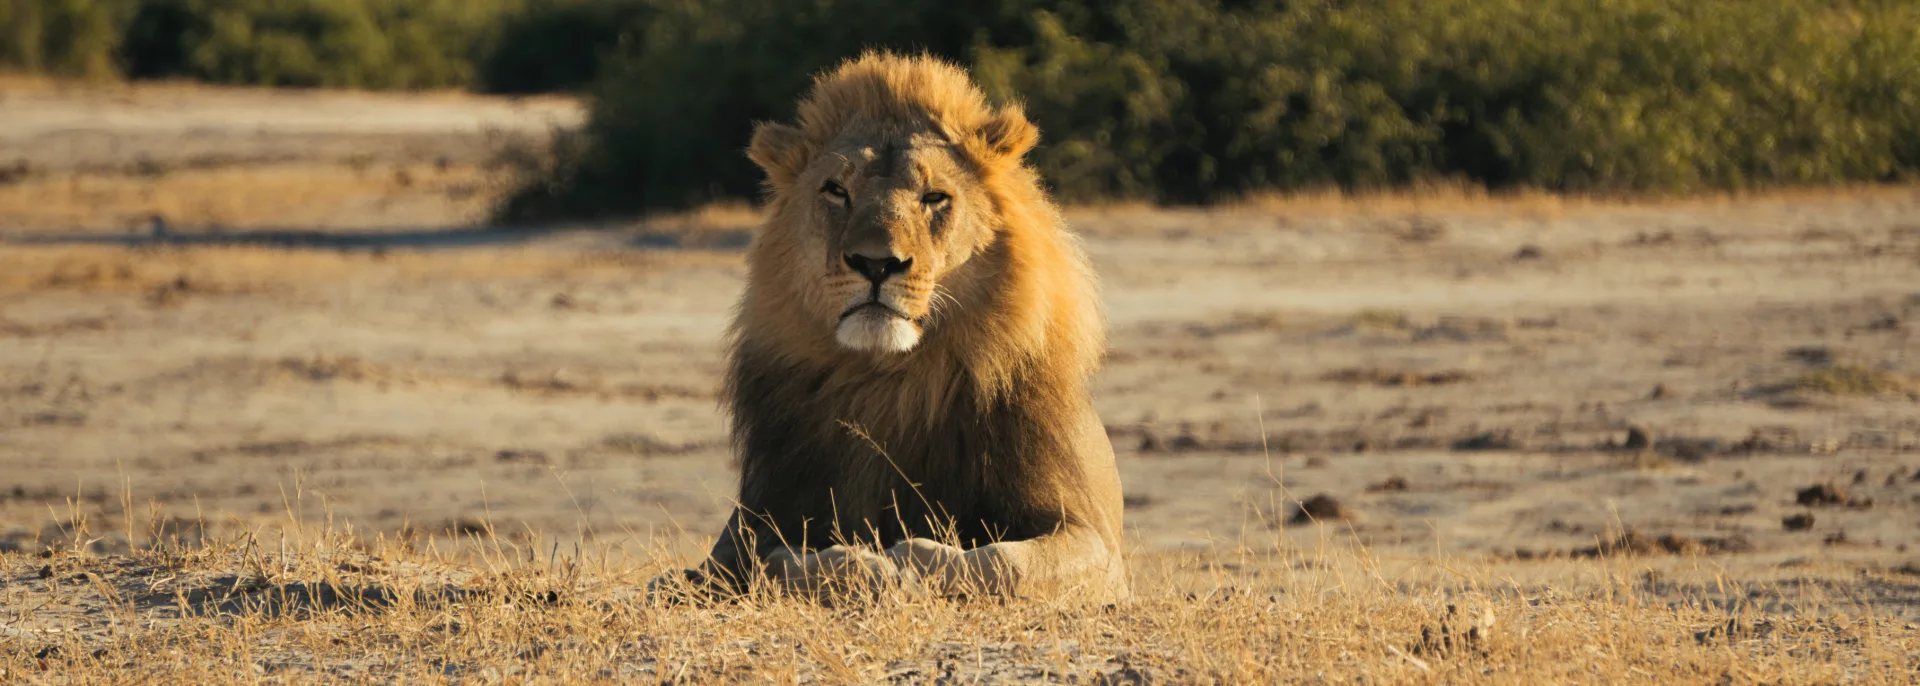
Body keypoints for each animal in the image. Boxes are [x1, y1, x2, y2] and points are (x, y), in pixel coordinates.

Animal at [652, 51, 1128, 604]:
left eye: (934, 197)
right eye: (837, 191)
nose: (876, 263)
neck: (892, 380)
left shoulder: (1096, 543)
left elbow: (1005, 563)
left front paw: (911, 560)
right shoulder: (753, 523)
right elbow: (771, 564)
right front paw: (865, 568)